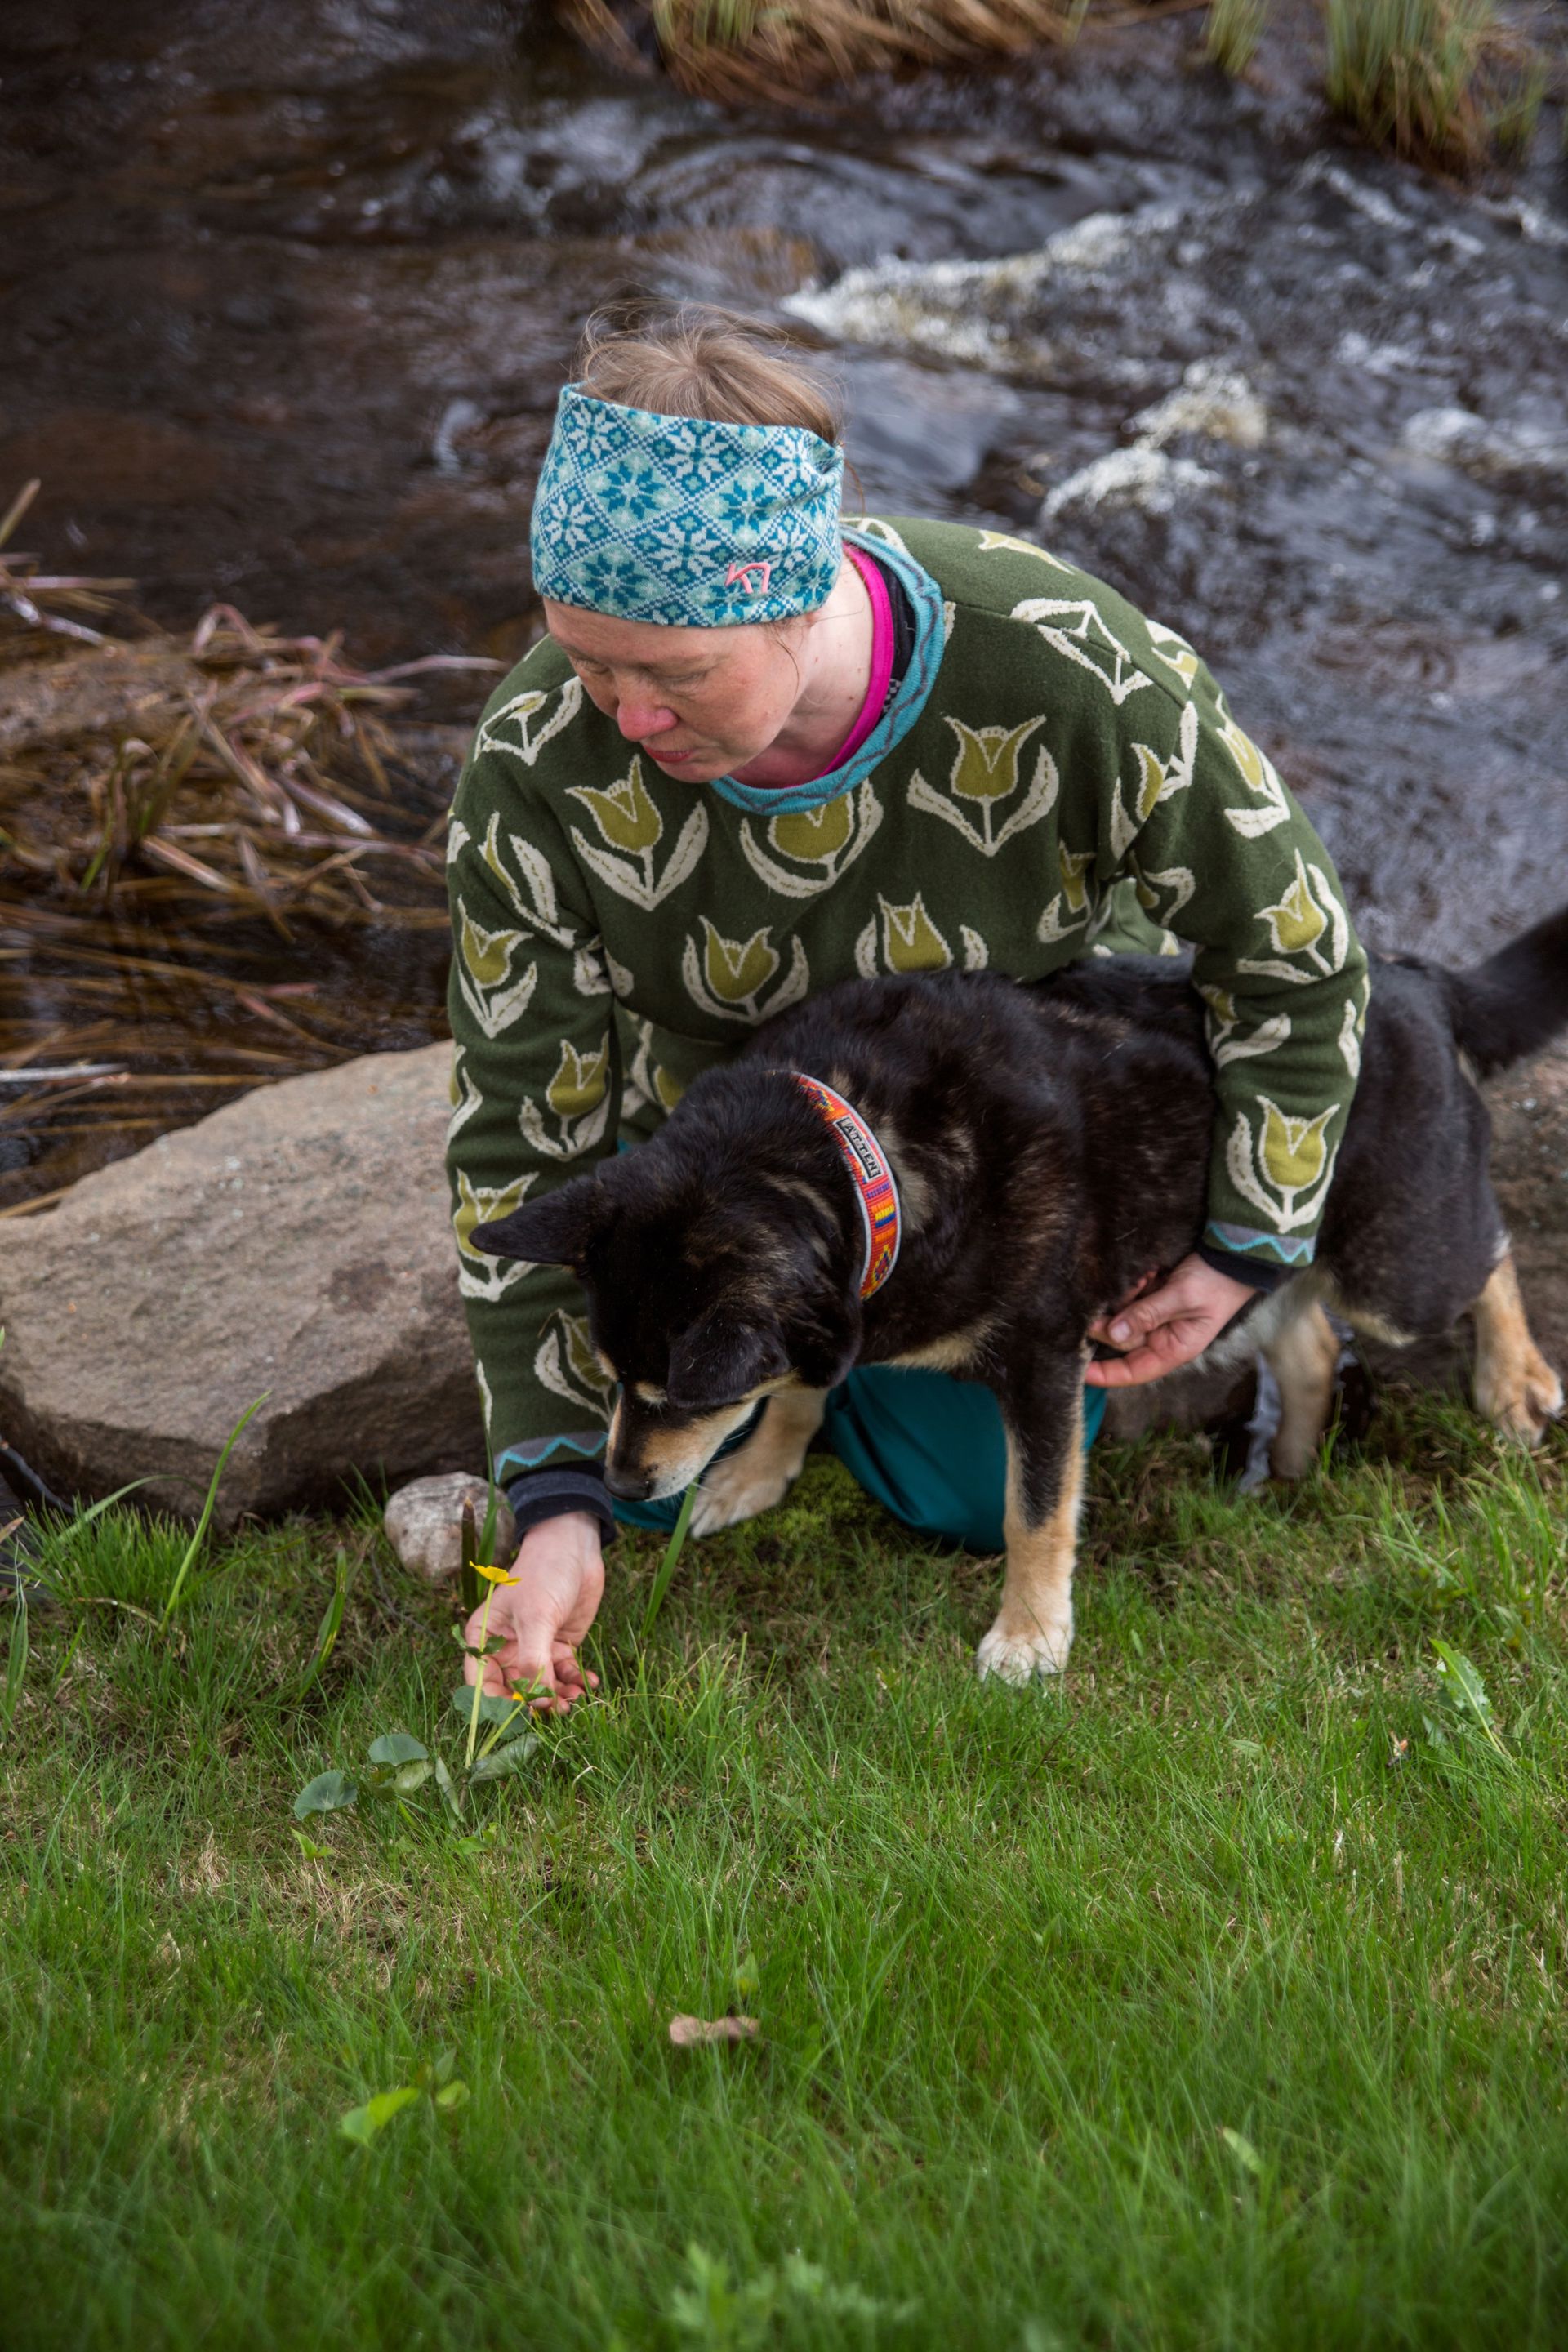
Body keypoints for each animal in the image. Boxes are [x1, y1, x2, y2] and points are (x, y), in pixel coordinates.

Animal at [479, 907, 1568, 1684]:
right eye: (608, 1374)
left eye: (683, 1394)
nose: (621, 1488)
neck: (852, 1149)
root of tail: (1415, 976)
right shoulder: (837, 1306)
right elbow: (801, 1386)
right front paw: (755, 1474)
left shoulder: (1047, 1359)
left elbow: (1032, 1511)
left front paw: (1032, 1635)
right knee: (1299, 1339)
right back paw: (1292, 1478)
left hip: (1396, 1262)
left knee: (1484, 1254)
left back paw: (1515, 1382)